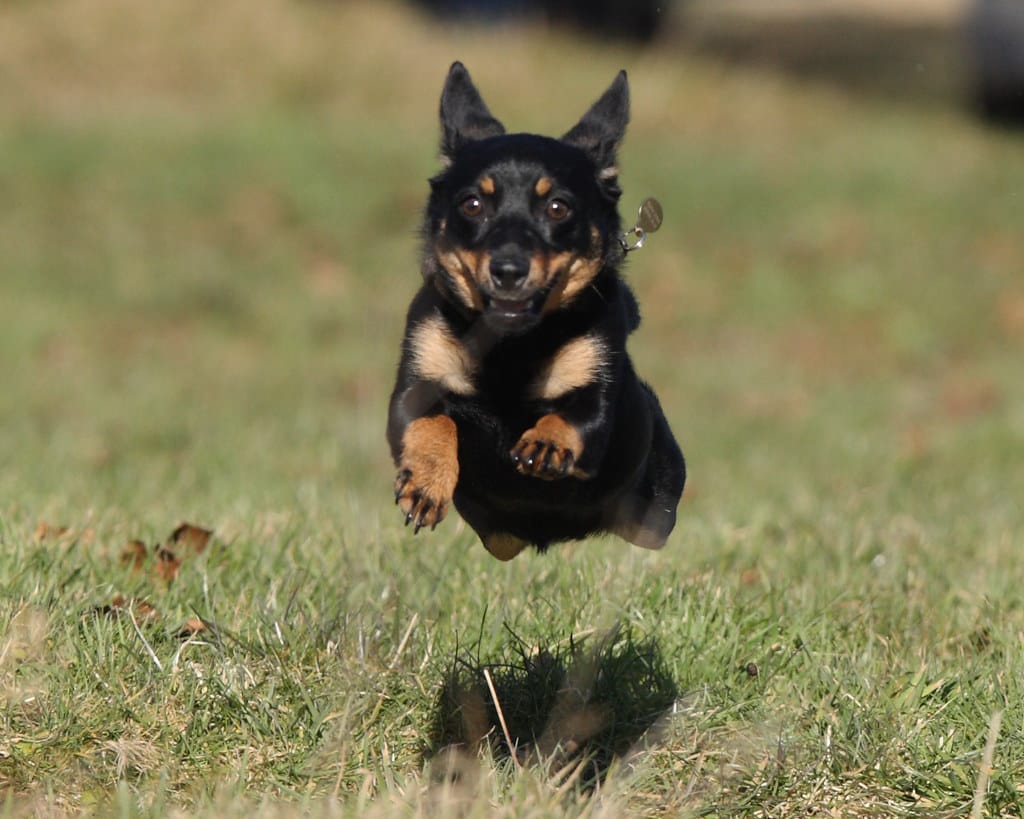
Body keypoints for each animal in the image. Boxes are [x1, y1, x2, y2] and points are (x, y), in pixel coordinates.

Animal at [387, 62, 684, 565]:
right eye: (472, 204)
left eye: (558, 207)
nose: (508, 269)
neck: (512, 345)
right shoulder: (417, 381)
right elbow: (433, 420)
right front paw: (426, 485)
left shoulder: (597, 388)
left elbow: (579, 415)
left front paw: (546, 443)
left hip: (654, 511)